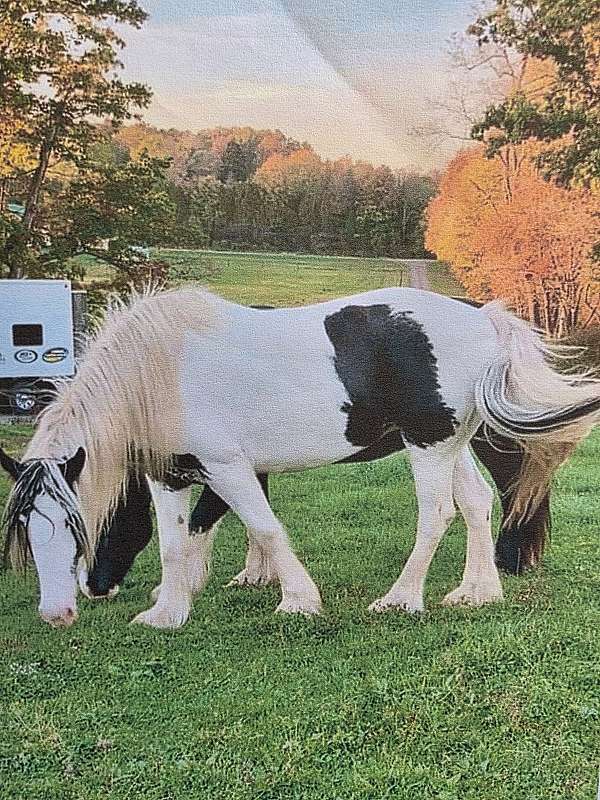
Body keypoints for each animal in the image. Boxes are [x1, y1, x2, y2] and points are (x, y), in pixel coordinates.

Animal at [81, 430, 552, 601]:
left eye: (107, 527)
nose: (93, 588)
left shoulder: (223, 466)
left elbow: (203, 521)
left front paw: (188, 582)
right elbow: (255, 522)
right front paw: (258, 574)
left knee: (516, 488)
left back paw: (511, 560)